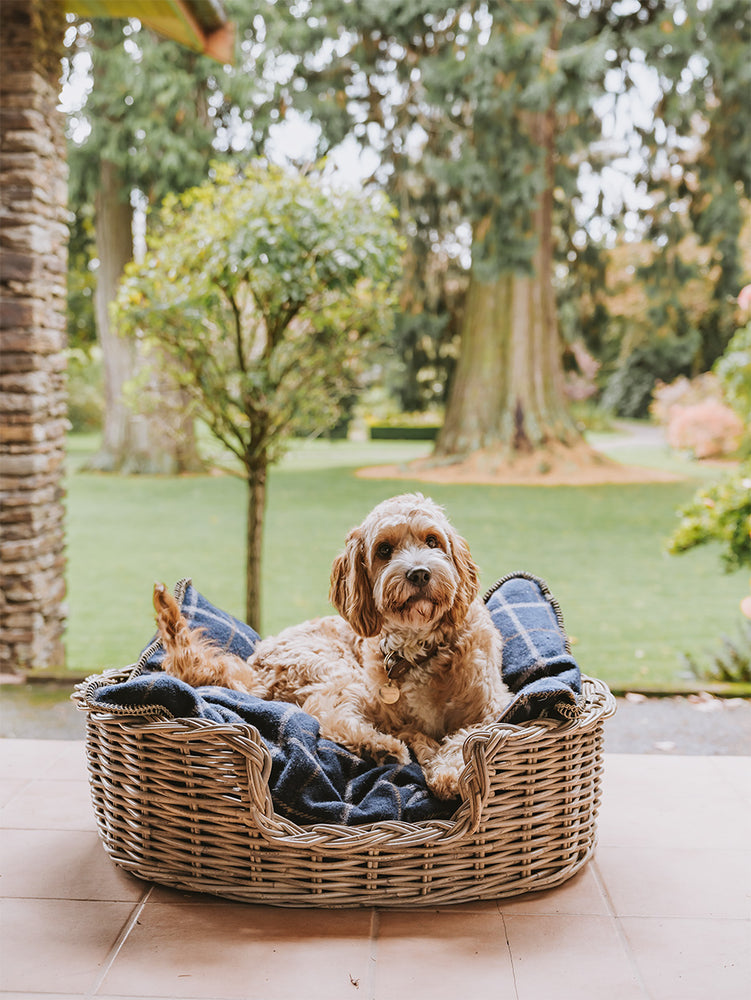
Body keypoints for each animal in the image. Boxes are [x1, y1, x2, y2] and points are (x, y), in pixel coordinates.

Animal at [156, 492, 516, 796]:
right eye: (384, 550)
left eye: (432, 541)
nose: (419, 573)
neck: (418, 645)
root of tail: (255, 669)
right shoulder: (386, 709)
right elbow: (426, 735)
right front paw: (432, 758)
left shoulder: (493, 706)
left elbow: (467, 736)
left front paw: (449, 771)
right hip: (335, 670)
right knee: (324, 715)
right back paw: (382, 748)